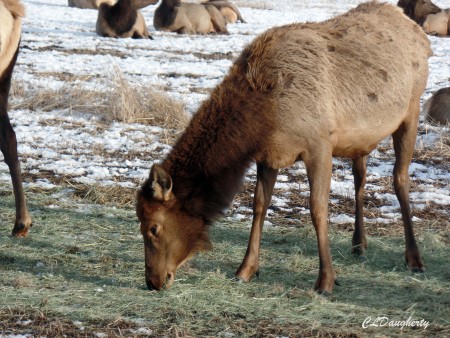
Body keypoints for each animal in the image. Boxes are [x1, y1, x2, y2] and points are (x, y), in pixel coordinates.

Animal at [138, 1, 432, 294]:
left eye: (153, 228)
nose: (153, 281)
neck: (263, 117)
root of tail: (419, 33)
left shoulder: (319, 144)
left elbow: (317, 209)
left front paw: (326, 280)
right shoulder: (268, 155)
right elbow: (259, 205)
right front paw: (245, 270)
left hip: (412, 110)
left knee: (400, 178)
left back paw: (414, 258)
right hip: (359, 139)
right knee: (360, 178)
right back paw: (359, 244)